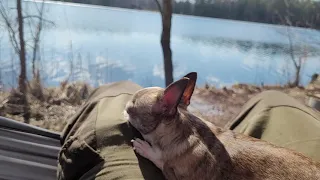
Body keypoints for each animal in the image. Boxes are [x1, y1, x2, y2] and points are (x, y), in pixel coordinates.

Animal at [123, 72, 320, 180]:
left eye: (130, 110)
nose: (123, 110)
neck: (182, 128)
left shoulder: (178, 174)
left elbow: (161, 159)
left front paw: (147, 149)